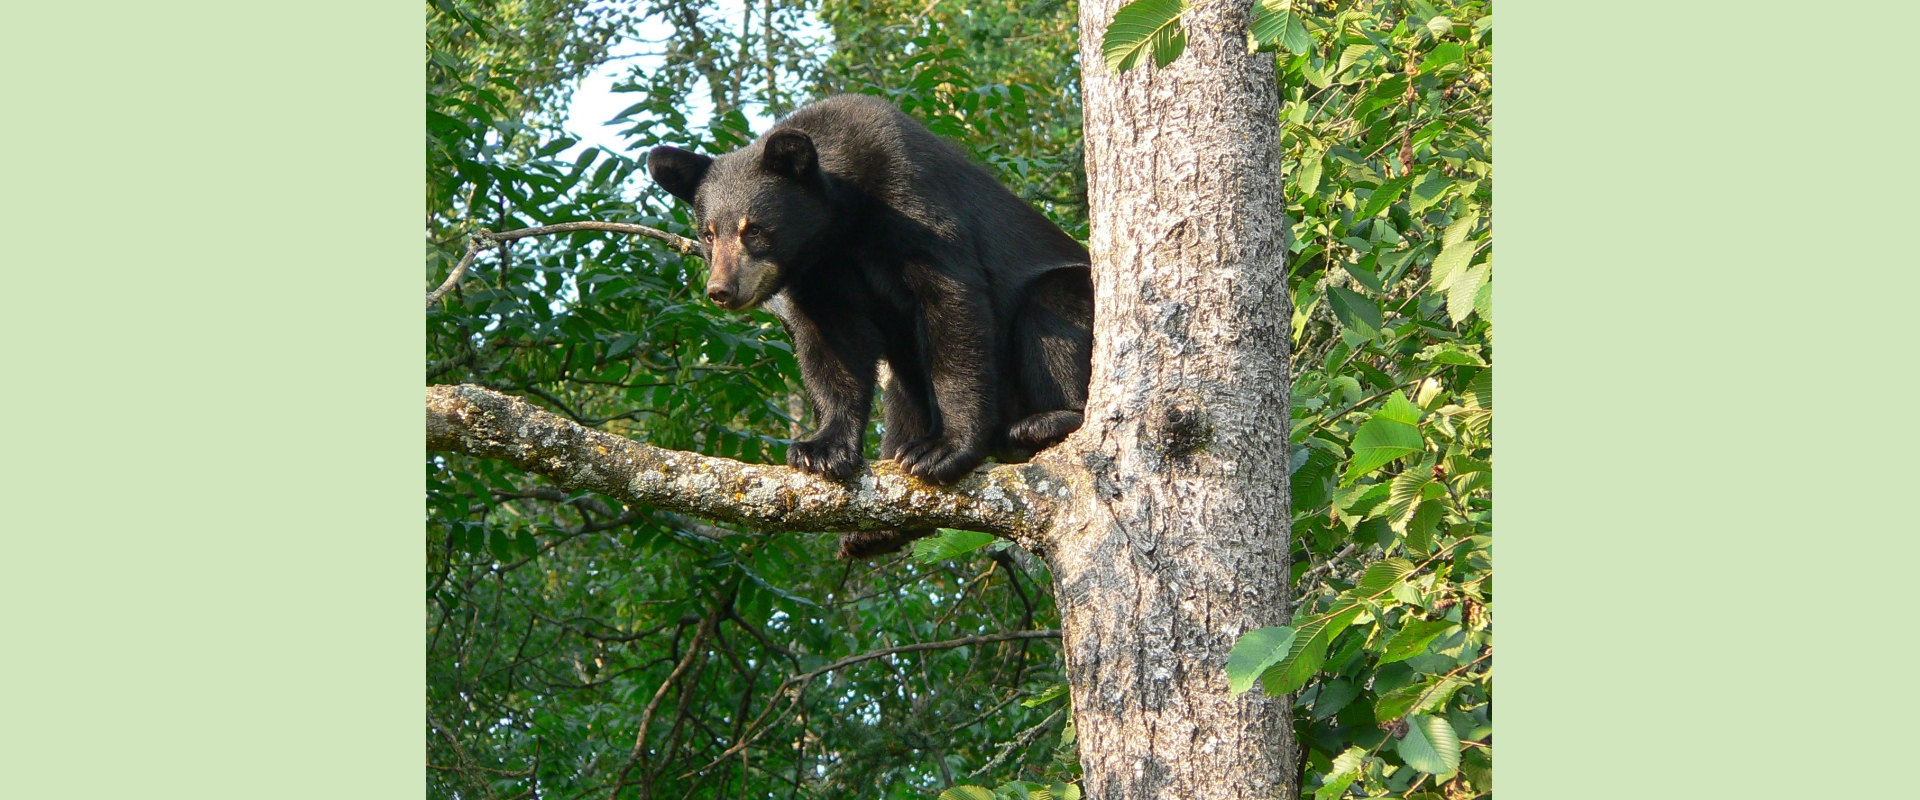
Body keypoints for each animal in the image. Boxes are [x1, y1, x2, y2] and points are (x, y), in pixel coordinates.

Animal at [648, 94, 1090, 548]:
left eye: (753, 230)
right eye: (708, 234)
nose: (721, 289)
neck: (843, 224)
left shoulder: (917, 204)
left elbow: (954, 308)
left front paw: (944, 448)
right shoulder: (822, 274)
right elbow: (833, 346)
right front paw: (822, 449)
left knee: (1052, 312)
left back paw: (1044, 422)